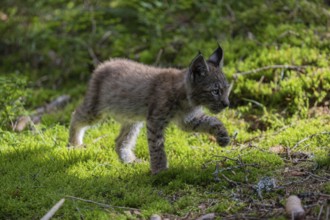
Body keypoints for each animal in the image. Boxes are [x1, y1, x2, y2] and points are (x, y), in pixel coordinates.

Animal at [68, 45, 229, 174]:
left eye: (227, 89)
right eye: (215, 91)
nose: (227, 104)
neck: (186, 98)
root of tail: (106, 63)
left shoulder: (187, 120)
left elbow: (212, 120)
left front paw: (223, 137)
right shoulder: (155, 120)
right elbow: (156, 146)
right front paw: (160, 170)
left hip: (132, 117)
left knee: (120, 140)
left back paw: (129, 160)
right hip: (95, 109)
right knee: (76, 114)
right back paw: (73, 144)